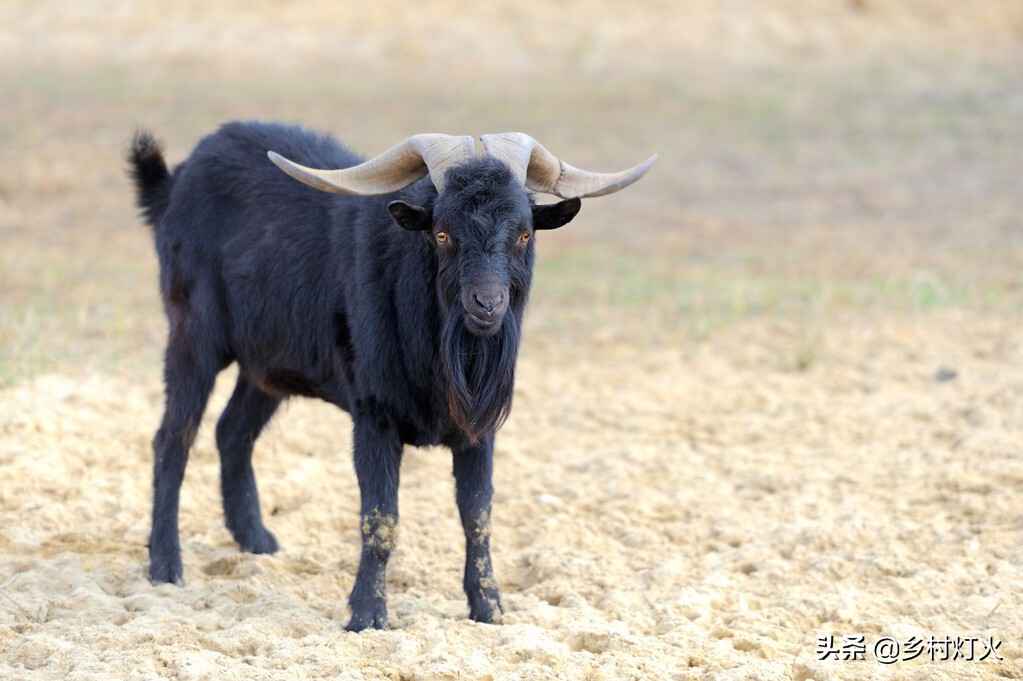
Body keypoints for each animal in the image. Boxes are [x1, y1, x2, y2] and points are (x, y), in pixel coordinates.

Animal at [127, 120, 654, 625]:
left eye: (524, 232)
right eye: (441, 233)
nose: (487, 304)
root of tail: (174, 182)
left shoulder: (479, 426)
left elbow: (478, 515)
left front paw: (489, 609)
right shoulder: (373, 416)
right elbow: (380, 518)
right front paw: (367, 615)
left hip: (269, 363)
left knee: (232, 431)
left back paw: (256, 541)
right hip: (193, 335)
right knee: (172, 439)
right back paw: (166, 567)